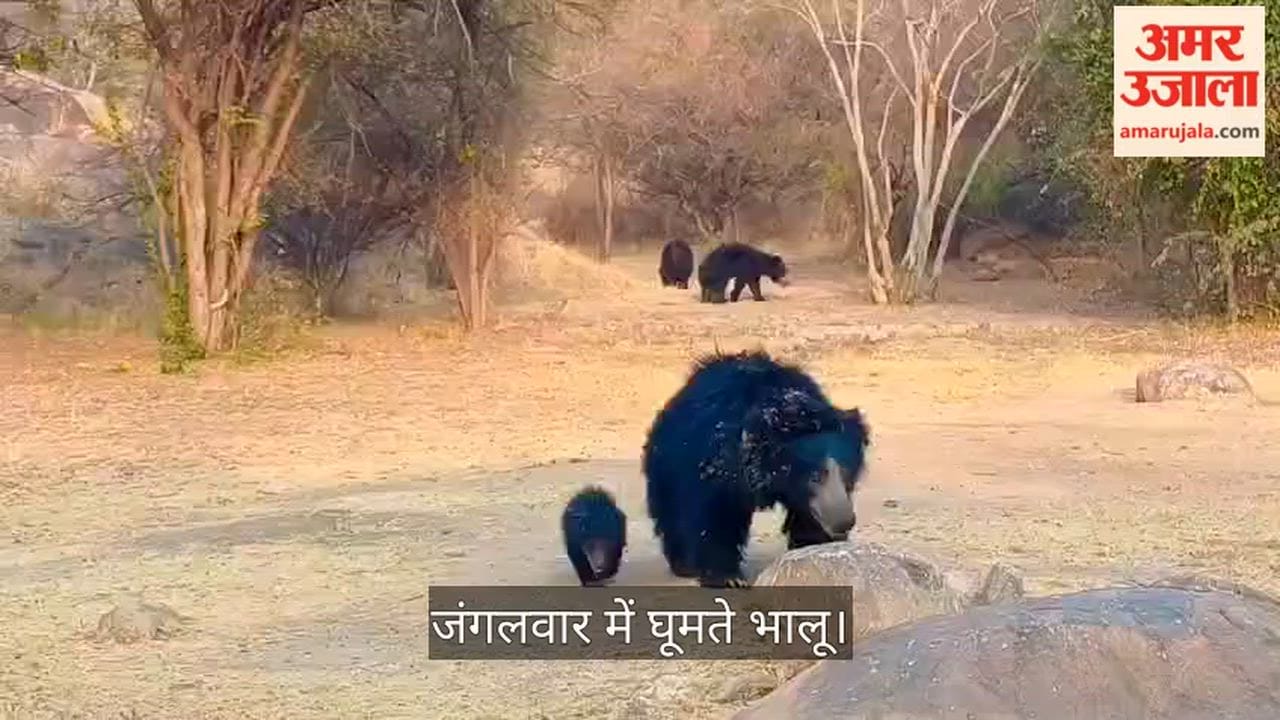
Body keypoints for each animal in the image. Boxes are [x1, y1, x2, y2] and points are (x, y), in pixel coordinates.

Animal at [641, 350, 870, 588]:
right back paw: (683, 565)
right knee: (670, 510)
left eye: (846, 473)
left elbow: (807, 516)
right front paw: (728, 578)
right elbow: (716, 513)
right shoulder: (717, 460)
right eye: (815, 476)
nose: (844, 522)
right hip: (667, 463)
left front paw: (813, 547)